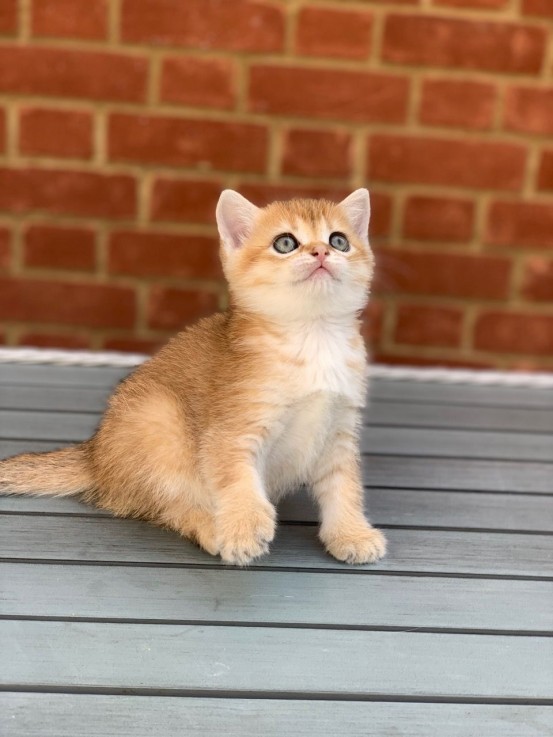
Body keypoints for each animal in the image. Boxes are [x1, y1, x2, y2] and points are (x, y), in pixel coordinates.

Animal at [0, 188, 386, 564]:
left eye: (339, 240)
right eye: (286, 243)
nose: (322, 251)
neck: (313, 336)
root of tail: (94, 455)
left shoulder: (339, 432)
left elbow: (344, 487)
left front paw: (350, 534)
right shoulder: (232, 429)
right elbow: (235, 475)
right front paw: (244, 524)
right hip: (158, 419)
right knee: (168, 505)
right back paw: (213, 527)